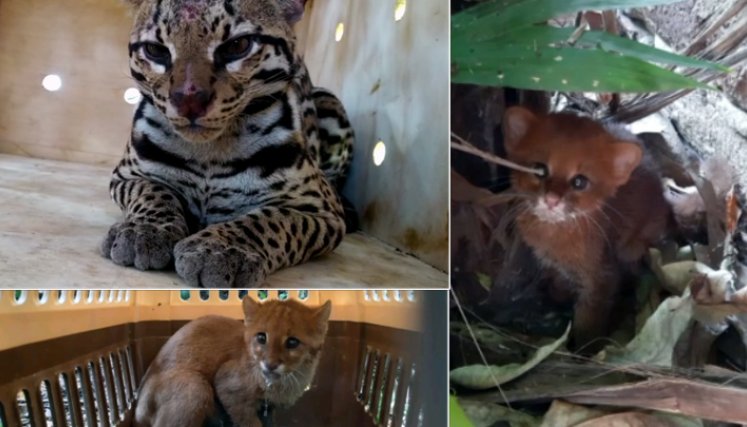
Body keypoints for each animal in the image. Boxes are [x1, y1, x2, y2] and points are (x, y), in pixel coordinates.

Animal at [135, 298, 334, 427]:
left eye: (293, 342)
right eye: (261, 337)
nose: (270, 364)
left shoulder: (268, 409)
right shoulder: (229, 390)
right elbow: (250, 424)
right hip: (195, 387)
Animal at [502, 107, 672, 352]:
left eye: (579, 182)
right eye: (539, 169)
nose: (551, 199)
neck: (553, 237)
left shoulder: (601, 279)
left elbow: (588, 322)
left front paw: (585, 351)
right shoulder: (555, 264)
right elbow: (559, 283)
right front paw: (558, 296)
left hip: (634, 247)